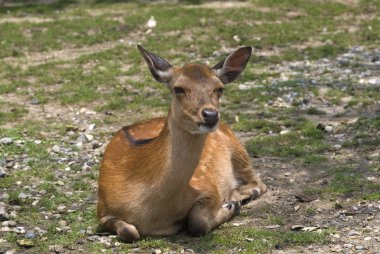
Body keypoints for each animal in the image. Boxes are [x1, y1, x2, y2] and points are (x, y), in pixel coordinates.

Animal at [97, 45, 268, 242]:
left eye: (220, 88)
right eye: (178, 88)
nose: (211, 114)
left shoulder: (207, 186)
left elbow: (197, 221)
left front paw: (230, 206)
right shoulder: (103, 210)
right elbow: (129, 231)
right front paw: (230, 205)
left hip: (238, 149)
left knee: (259, 182)